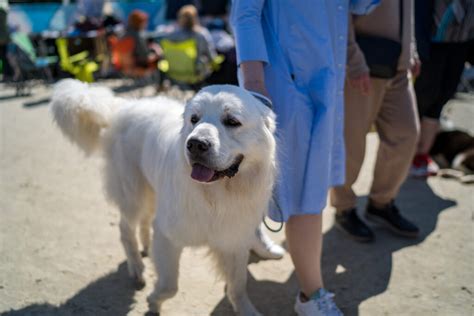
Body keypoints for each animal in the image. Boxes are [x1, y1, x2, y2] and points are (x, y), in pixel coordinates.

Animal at [50, 79, 276, 314]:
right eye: (194, 119)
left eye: (232, 121)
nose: (195, 144)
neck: (215, 196)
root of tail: (124, 106)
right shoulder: (169, 238)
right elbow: (169, 286)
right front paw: (153, 301)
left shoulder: (234, 241)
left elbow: (238, 285)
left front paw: (246, 309)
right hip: (134, 194)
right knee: (125, 229)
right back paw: (137, 268)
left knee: (145, 222)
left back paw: (147, 247)